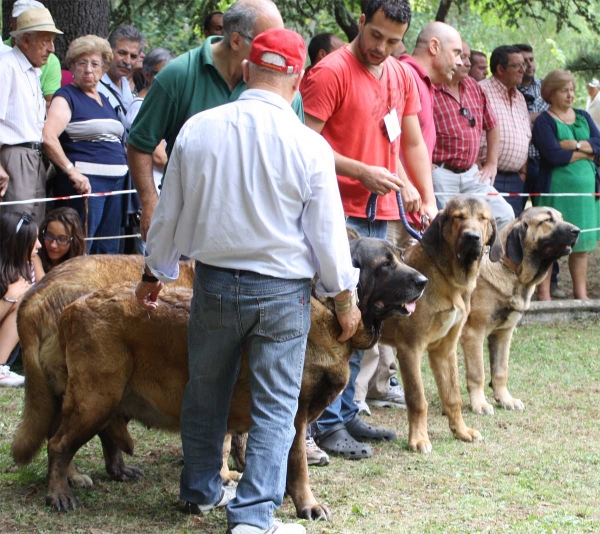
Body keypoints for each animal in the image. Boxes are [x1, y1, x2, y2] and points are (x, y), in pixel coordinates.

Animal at [14, 234, 426, 520]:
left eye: (399, 258)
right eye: (385, 264)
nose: (422, 281)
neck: (325, 311)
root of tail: (68, 306)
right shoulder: (292, 417)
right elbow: (295, 466)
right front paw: (305, 505)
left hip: (105, 398)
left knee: (96, 433)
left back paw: (116, 471)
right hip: (94, 398)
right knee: (59, 443)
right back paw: (60, 492)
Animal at [380, 197, 502, 456]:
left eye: (483, 219)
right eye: (458, 217)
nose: (472, 237)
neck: (449, 278)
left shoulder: (444, 348)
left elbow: (452, 395)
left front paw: (461, 431)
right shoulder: (410, 348)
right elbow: (417, 399)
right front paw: (418, 439)